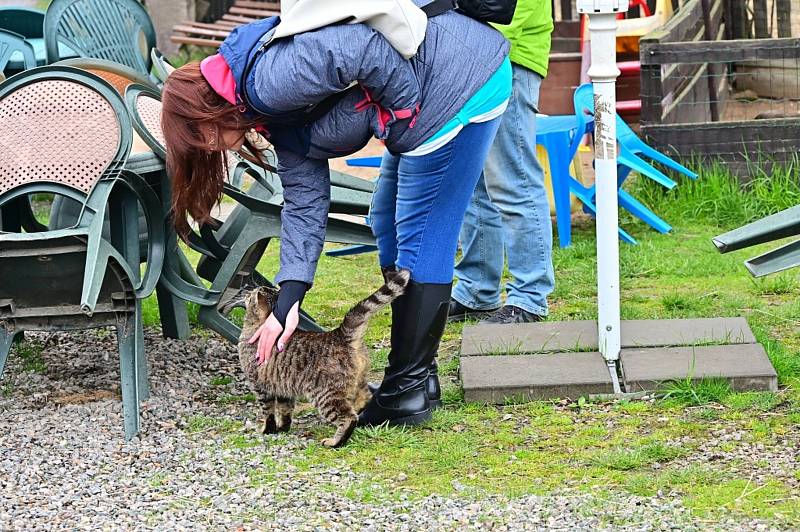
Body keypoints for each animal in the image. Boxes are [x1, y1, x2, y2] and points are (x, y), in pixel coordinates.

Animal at [236, 268, 412, 446]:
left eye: (251, 295)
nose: (247, 291)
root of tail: (340, 334)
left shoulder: (260, 386)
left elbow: (268, 412)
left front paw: (267, 429)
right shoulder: (283, 387)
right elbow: (285, 410)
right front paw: (282, 428)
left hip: (325, 395)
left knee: (348, 417)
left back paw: (335, 441)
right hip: (358, 381)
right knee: (365, 397)